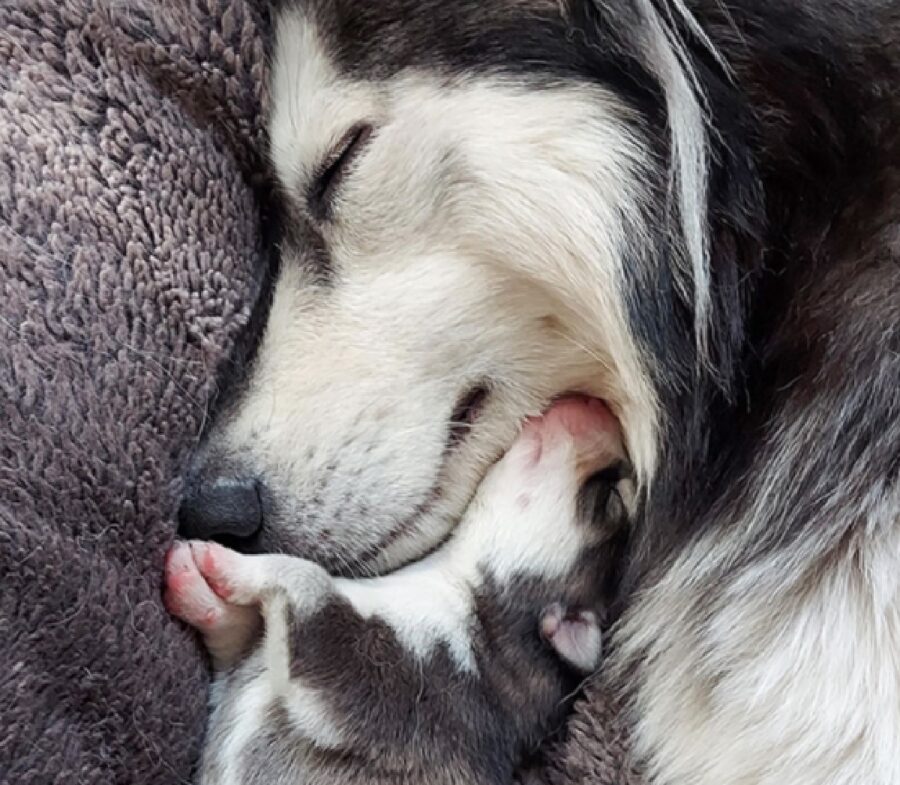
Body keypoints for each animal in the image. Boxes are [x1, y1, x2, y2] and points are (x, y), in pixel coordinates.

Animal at [169, 398, 628, 784]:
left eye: (609, 499)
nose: (601, 406)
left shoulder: (368, 666)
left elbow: (305, 578)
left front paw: (229, 564)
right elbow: (236, 633)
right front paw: (197, 588)